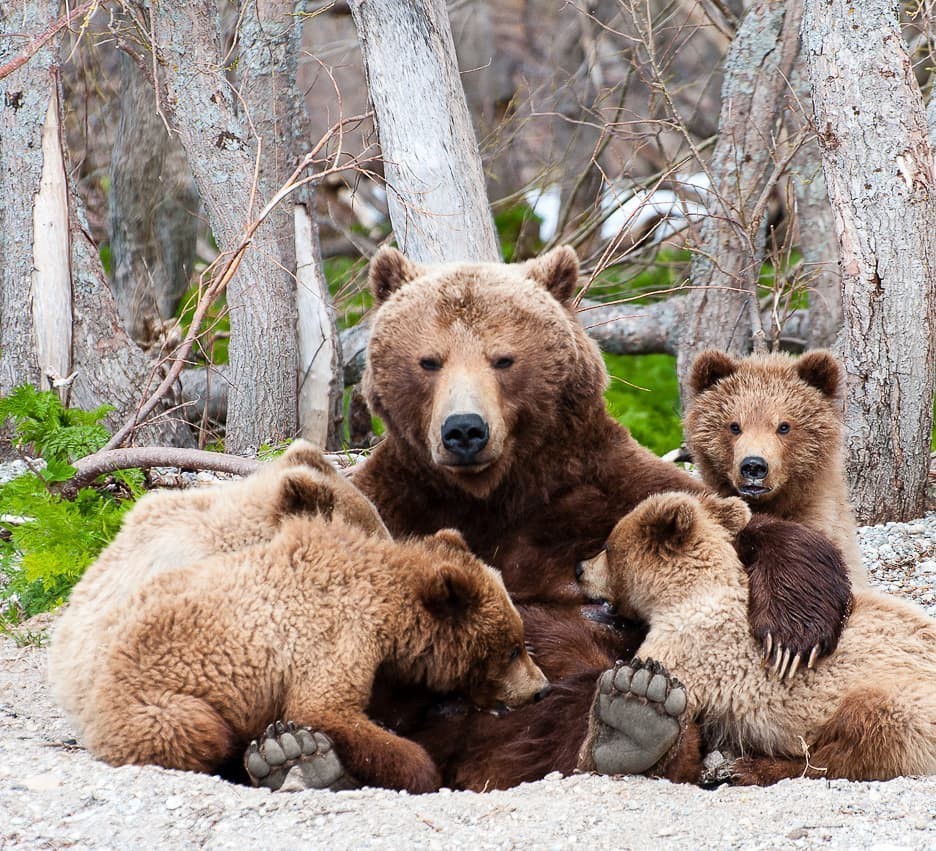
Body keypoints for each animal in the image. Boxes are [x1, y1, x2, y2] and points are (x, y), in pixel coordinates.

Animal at [350, 246, 848, 792]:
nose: (464, 430)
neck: (492, 496)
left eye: (503, 358)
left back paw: (640, 723)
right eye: (429, 361)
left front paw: (792, 634)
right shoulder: (394, 502)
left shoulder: (598, 485)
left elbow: (738, 524)